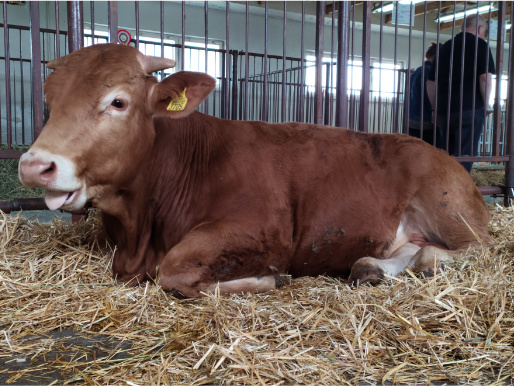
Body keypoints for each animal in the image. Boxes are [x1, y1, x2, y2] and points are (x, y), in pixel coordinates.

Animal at [19, 44, 488, 298]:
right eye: (49, 99)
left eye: (118, 101)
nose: (33, 166)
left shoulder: (261, 230)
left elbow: (174, 269)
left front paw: (269, 278)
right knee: (404, 250)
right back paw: (370, 267)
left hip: (450, 211)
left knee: (473, 250)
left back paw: (425, 262)